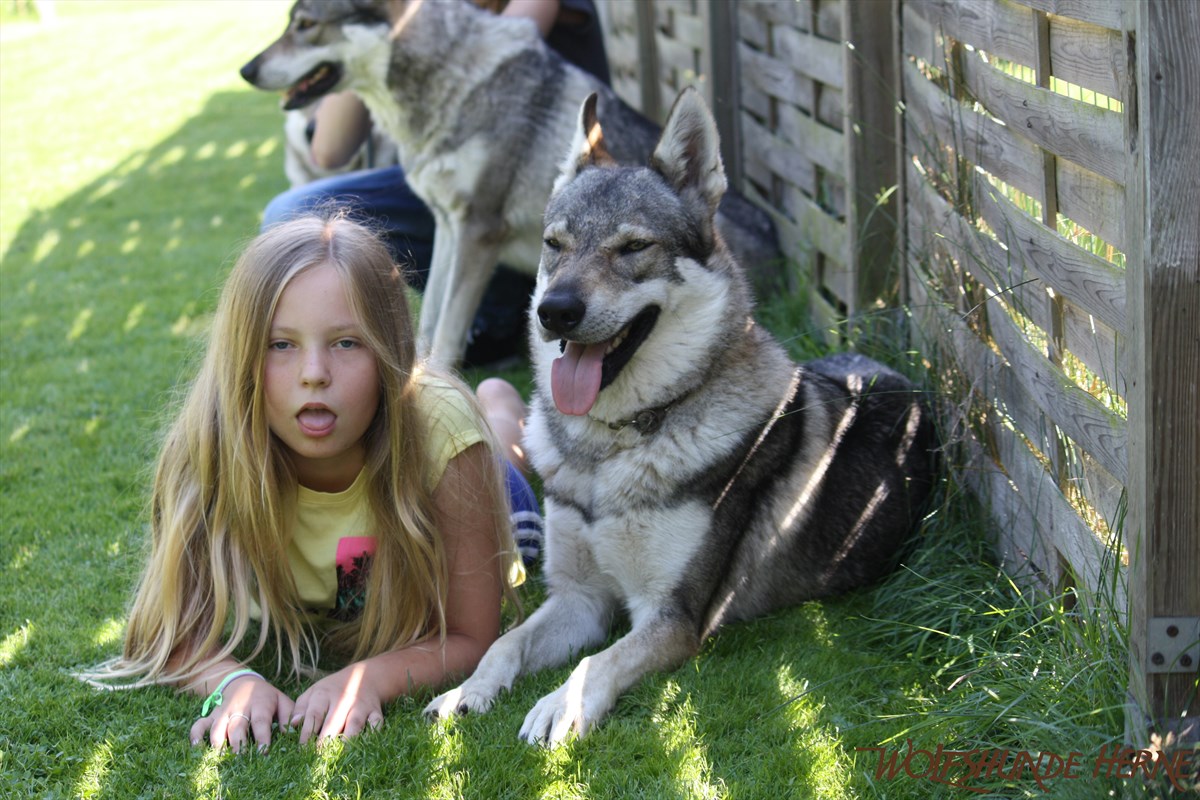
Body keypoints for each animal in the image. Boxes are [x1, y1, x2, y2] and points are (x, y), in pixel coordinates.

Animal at [240, 0, 779, 365]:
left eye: (306, 25)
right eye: (289, 22)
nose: (246, 69)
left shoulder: (479, 229)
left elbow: (449, 328)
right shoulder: (449, 226)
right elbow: (430, 317)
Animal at [423, 88, 938, 746]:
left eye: (633, 248)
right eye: (554, 246)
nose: (554, 311)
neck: (611, 448)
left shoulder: (673, 617)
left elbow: (596, 663)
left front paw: (560, 706)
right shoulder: (580, 597)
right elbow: (504, 644)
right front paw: (466, 692)